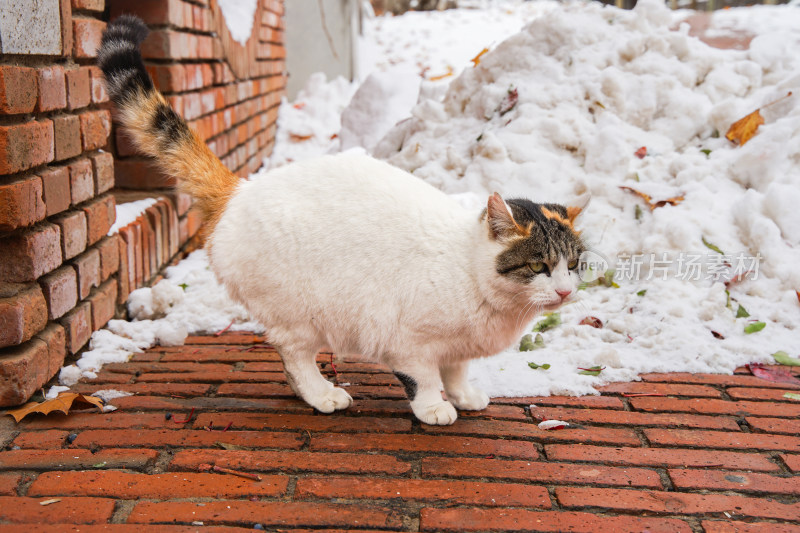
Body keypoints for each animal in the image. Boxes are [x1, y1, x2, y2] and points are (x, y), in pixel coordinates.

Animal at [98, 14, 588, 426]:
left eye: (574, 265)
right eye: (539, 265)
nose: (565, 291)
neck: (474, 278)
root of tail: (241, 190)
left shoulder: (456, 347)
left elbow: (456, 370)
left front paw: (464, 395)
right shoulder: (407, 342)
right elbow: (426, 378)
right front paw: (434, 407)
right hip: (298, 312)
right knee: (293, 356)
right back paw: (322, 394)